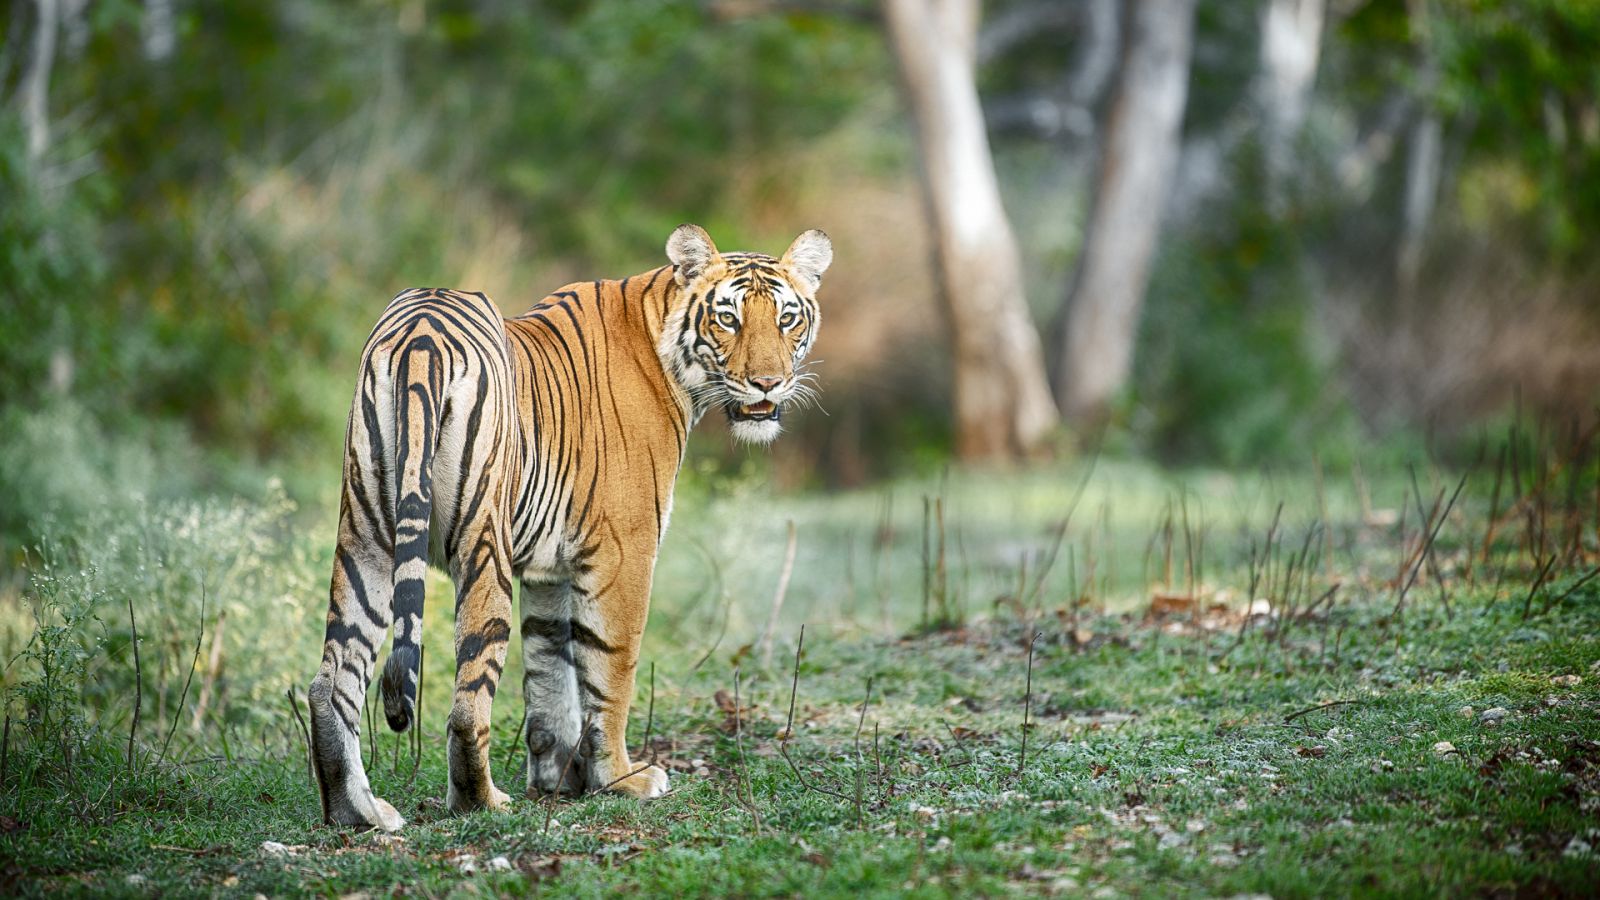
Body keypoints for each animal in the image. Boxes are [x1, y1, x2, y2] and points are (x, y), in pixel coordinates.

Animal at [312, 224, 838, 826]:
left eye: (787, 318)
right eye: (727, 318)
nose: (767, 384)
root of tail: (420, 332)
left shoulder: (550, 569)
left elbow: (550, 672)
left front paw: (558, 776)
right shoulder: (624, 552)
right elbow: (611, 670)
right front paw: (623, 778)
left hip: (366, 543)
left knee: (330, 683)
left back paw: (359, 812)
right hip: (481, 544)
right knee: (467, 701)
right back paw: (482, 801)